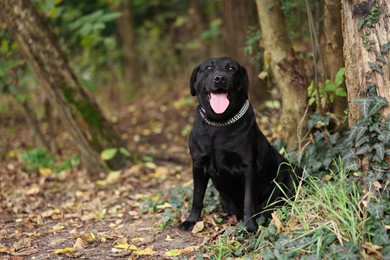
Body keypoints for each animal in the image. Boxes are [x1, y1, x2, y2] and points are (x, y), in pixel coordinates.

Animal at [180, 57, 302, 232]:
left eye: (231, 68)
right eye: (208, 68)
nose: (220, 78)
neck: (218, 125)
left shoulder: (248, 167)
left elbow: (248, 200)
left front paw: (250, 227)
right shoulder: (198, 164)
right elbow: (197, 197)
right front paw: (191, 220)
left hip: (292, 172)